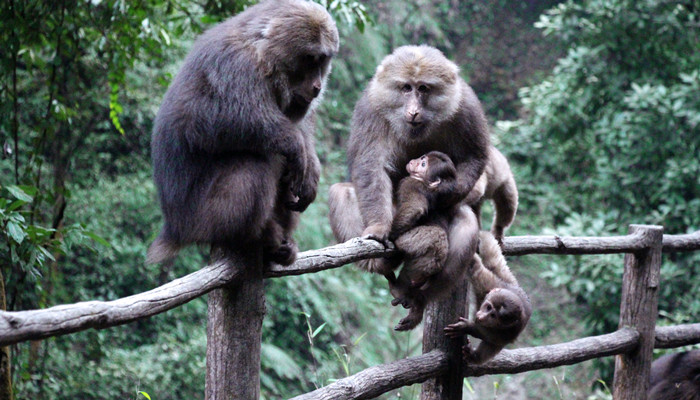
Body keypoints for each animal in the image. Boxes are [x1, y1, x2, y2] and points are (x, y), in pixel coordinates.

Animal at [146, 1, 338, 268]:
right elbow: (205, 120)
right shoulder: (236, 65)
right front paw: (294, 143)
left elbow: (301, 128)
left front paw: (311, 168)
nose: (317, 86)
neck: (263, 56)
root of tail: (173, 230)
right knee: (254, 164)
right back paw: (254, 236)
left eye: (323, 60)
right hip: (201, 219)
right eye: (310, 59)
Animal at [326, 45, 486, 330]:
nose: (413, 111)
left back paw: (417, 297)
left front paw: (445, 193)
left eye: (423, 88)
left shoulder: (466, 106)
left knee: (465, 225)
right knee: (341, 192)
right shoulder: (371, 108)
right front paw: (379, 228)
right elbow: (371, 165)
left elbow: (474, 156)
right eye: (405, 88)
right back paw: (381, 263)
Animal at [442, 230, 532, 364]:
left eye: (493, 316)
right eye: (488, 307)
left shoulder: (507, 333)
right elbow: (474, 266)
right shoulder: (486, 283)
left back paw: (474, 356)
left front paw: (466, 328)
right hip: (501, 279)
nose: (481, 316)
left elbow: (488, 338)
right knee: (492, 259)